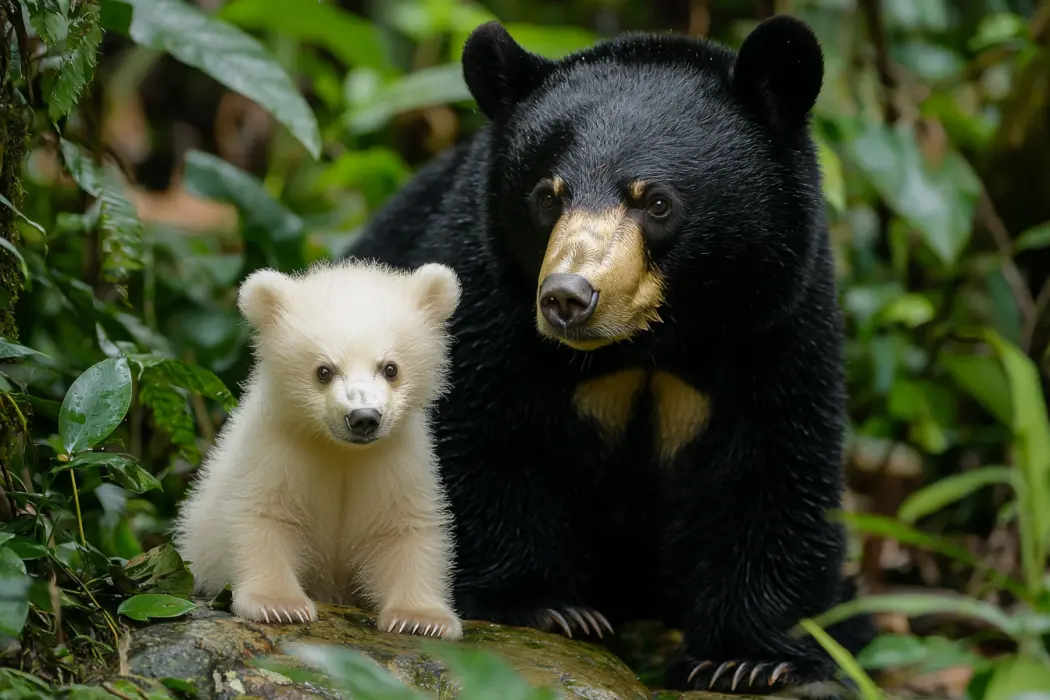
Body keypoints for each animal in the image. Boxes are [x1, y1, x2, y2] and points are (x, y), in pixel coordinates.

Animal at [173, 259, 464, 641]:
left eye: (390, 368)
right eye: (323, 371)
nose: (363, 418)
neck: (340, 451)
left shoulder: (392, 460)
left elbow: (403, 527)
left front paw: (421, 618)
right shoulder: (282, 451)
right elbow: (264, 515)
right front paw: (278, 604)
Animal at [346, 14, 874, 694]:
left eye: (656, 202)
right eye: (547, 196)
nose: (566, 297)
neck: (648, 343)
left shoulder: (778, 320)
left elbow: (774, 467)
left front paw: (749, 658)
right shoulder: (486, 291)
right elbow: (482, 435)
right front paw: (546, 606)